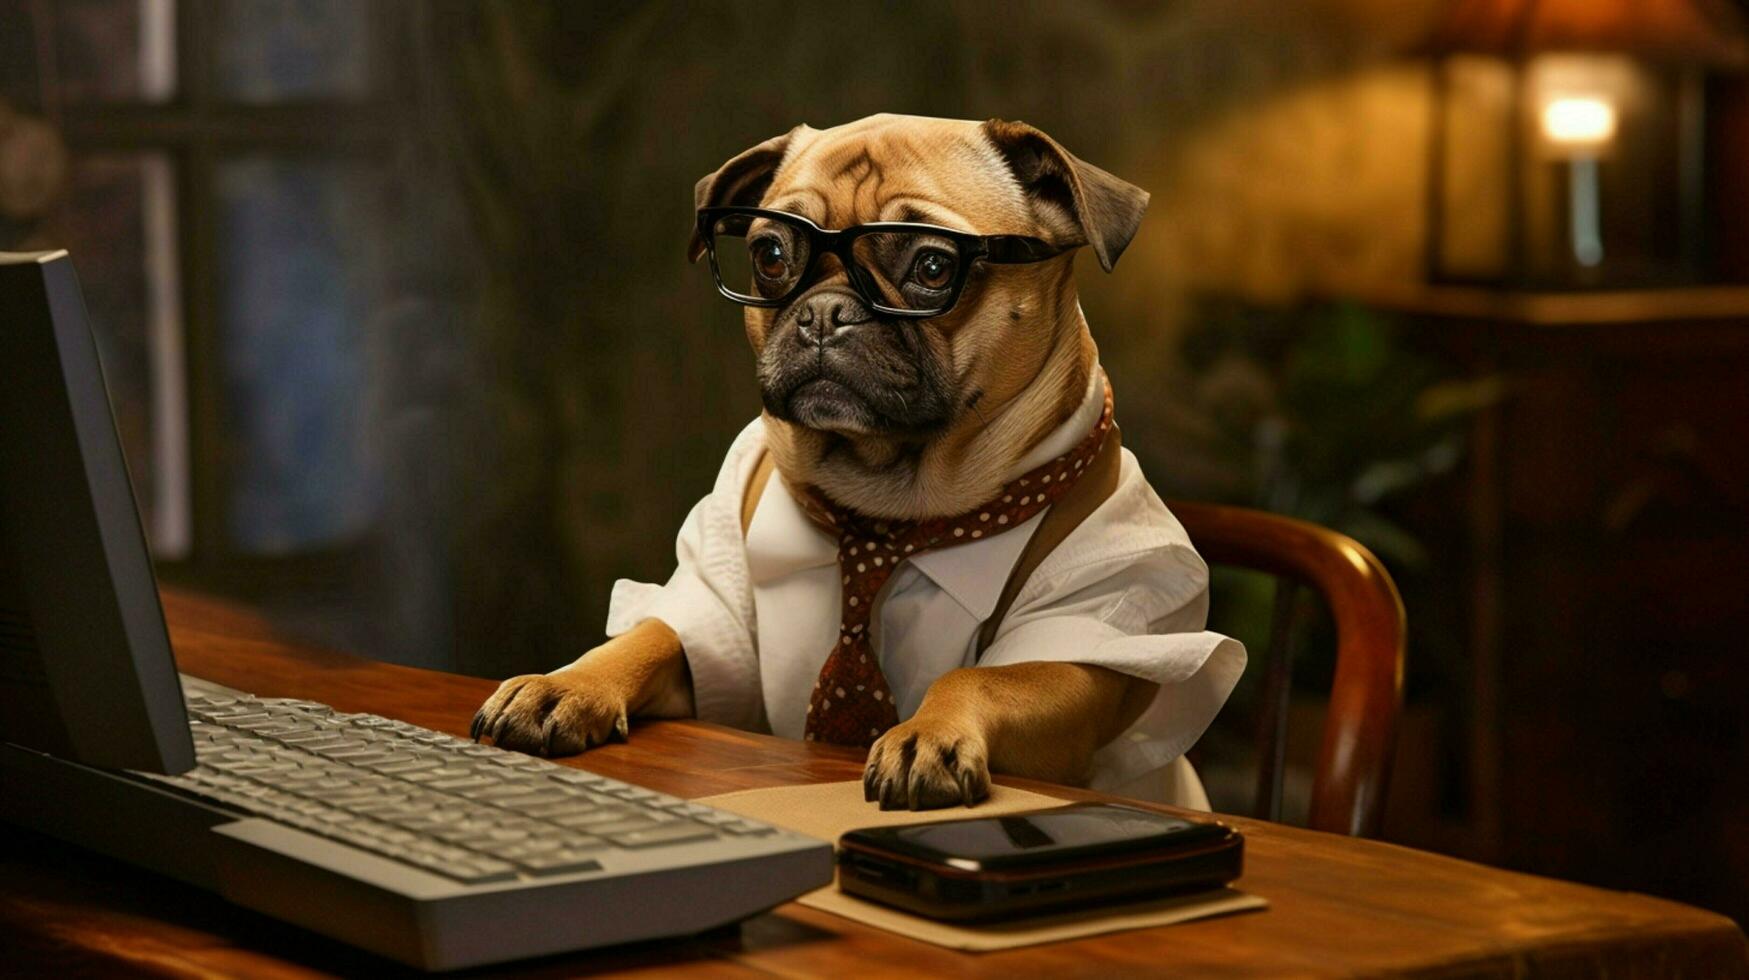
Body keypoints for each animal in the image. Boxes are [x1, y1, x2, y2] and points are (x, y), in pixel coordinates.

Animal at [465, 112, 1231, 812]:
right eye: (771, 255)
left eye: (932, 267)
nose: (824, 313)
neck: (885, 517)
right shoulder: (712, 618)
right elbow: (650, 636)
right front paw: (565, 684)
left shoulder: (1083, 640)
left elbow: (979, 677)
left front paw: (927, 734)